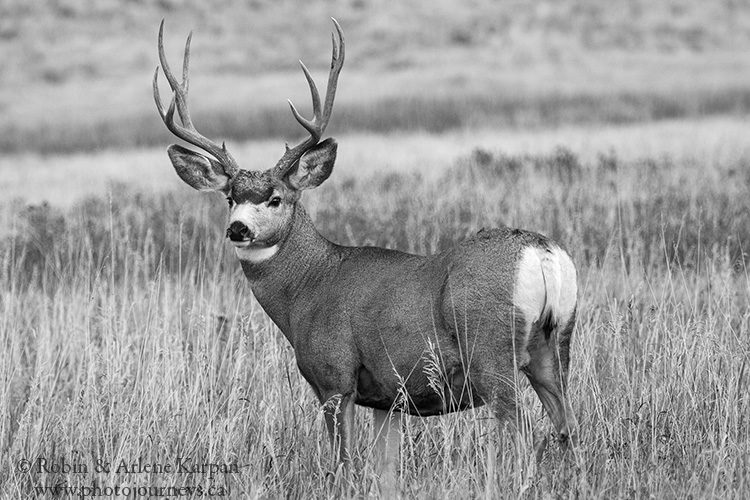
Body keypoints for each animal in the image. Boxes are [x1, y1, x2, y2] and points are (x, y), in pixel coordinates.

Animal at [153, 18, 580, 484]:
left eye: (276, 198)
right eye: (230, 197)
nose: (238, 229)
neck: (308, 287)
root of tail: (541, 252)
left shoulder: (335, 376)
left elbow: (344, 464)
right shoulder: (387, 397)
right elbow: (385, 468)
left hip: (491, 350)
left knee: (525, 430)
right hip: (555, 344)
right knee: (568, 427)